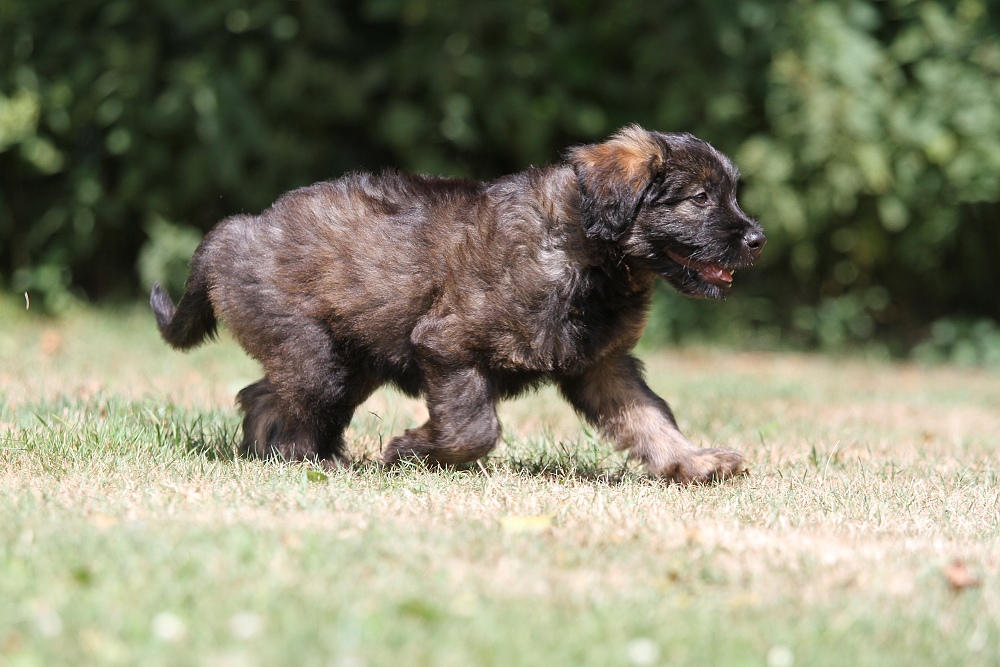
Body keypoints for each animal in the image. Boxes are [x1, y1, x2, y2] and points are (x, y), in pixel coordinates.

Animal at [152, 125, 764, 482]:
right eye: (700, 198)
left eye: (731, 193)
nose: (757, 238)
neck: (584, 250)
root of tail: (234, 231)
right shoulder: (449, 345)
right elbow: (474, 428)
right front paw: (410, 450)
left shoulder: (602, 365)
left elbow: (649, 418)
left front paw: (694, 461)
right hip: (315, 355)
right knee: (288, 403)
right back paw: (309, 461)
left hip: (352, 360)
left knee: (263, 395)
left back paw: (289, 455)